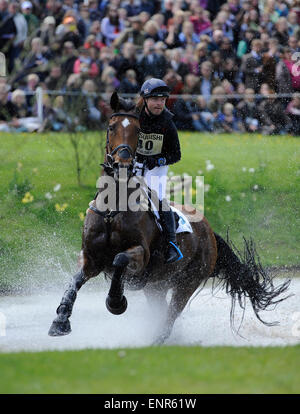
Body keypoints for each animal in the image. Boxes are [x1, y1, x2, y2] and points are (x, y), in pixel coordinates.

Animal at [48, 92, 290, 344]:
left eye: (137, 130)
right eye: (111, 127)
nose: (123, 164)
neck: (112, 210)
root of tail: (209, 231)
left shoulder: (140, 256)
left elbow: (120, 261)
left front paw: (116, 302)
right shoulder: (91, 257)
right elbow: (74, 282)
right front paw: (60, 321)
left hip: (188, 281)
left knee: (172, 313)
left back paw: (157, 339)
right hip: (157, 285)